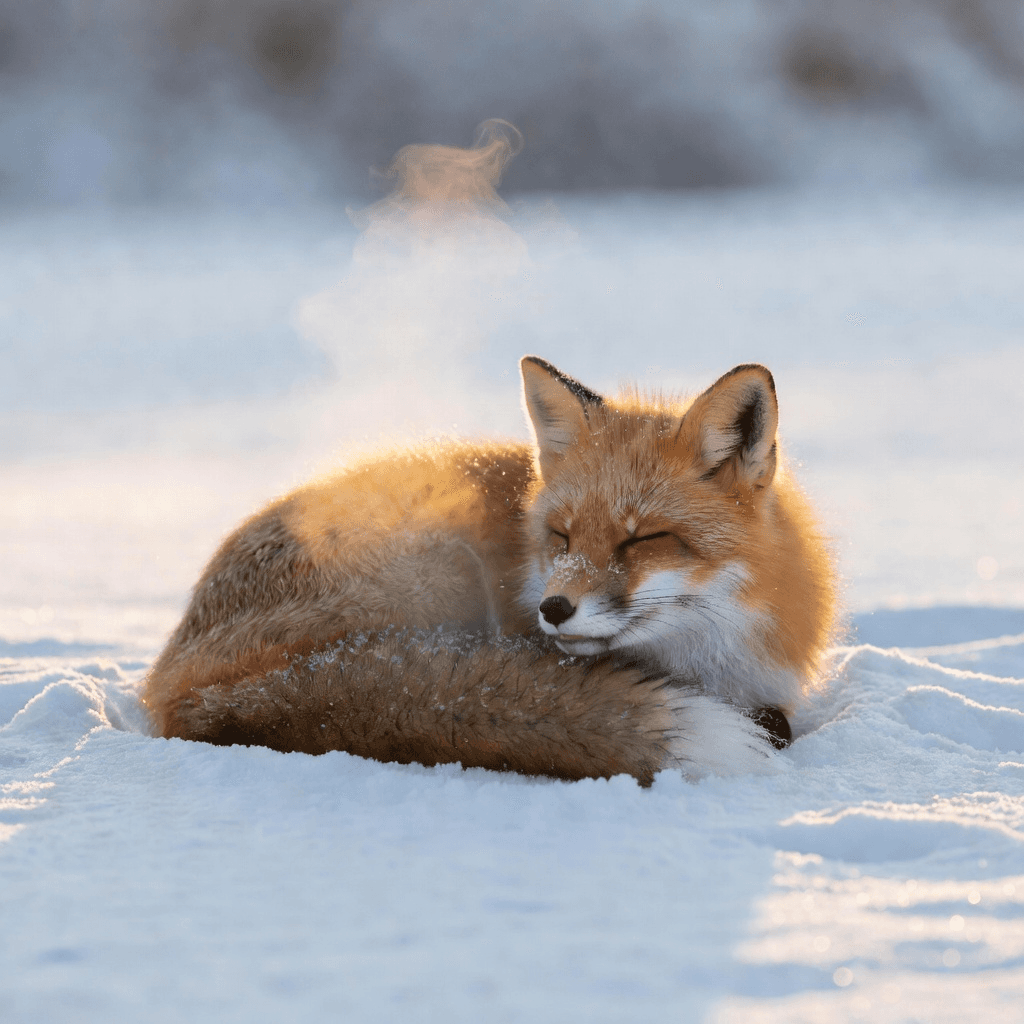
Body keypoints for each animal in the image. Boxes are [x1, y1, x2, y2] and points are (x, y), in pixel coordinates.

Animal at [142, 357, 836, 785]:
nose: (553, 609)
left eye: (644, 539)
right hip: (443, 567)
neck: (708, 660)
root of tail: (177, 680)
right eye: (561, 535)